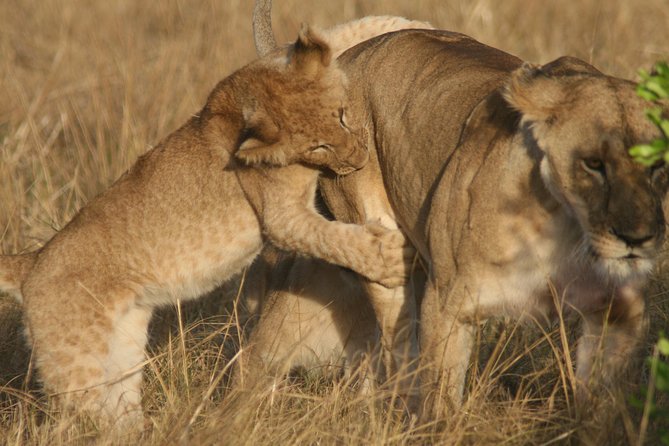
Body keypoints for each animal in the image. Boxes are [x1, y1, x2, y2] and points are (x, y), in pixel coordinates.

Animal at [0, 25, 418, 428]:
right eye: (318, 146)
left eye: (343, 114)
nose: (360, 158)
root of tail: (32, 262)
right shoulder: (280, 217)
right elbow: (333, 239)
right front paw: (392, 258)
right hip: (75, 364)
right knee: (66, 423)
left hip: (122, 353)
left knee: (117, 410)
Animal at [253, 1, 669, 421]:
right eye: (593, 164)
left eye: (657, 165)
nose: (638, 239)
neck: (566, 231)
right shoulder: (447, 302)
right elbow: (442, 405)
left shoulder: (621, 312)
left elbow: (602, 411)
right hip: (381, 251)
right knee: (396, 352)